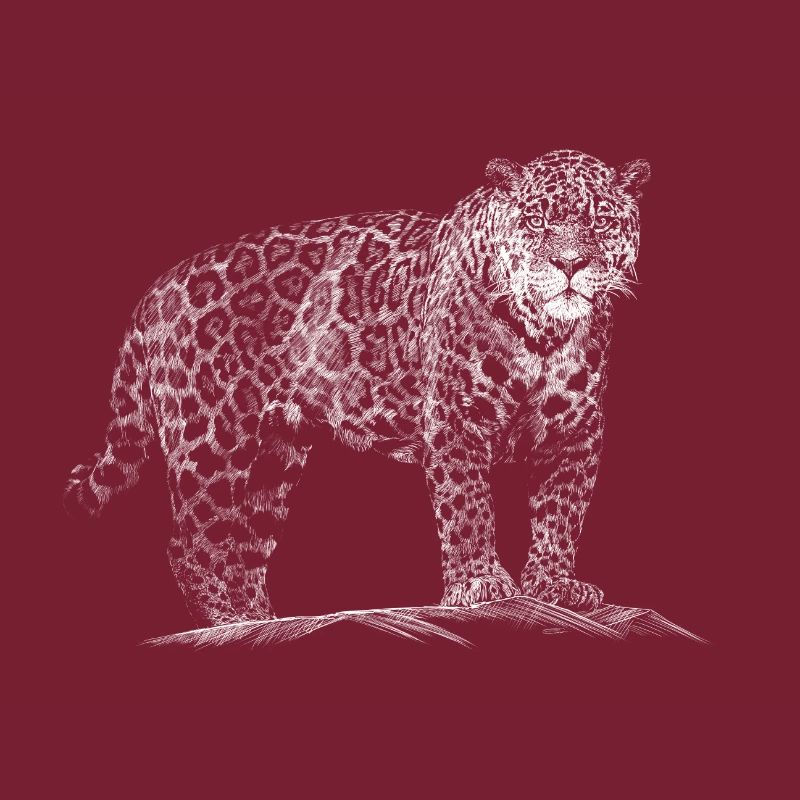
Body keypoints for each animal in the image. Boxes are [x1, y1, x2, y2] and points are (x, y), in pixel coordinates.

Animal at [64, 149, 650, 627]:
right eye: (535, 220)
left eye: (601, 221)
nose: (569, 264)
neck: (545, 334)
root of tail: (154, 291)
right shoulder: (455, 420)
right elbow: (467, 506)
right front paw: (480, 584)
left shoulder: (576, 432)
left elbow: (561, 512)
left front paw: (554, 585)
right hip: (212, 438)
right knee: (191, 543)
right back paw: (227, 623)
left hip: (275, 454)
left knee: (245, 549)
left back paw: (263, 621)